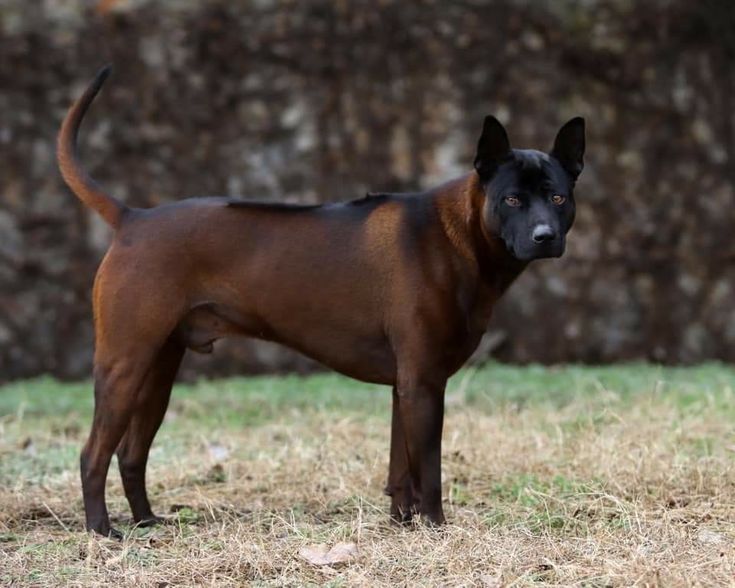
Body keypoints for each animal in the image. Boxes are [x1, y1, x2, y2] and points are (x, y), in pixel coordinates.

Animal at [57, 65, 588, 536]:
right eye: (513, 200)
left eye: (558, 198)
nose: (545, 237)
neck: (459, 235)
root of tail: (133, 218)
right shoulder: (423, 384)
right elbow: (430, 471)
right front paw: (437, 528)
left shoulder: (406, 386)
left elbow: (402, 470)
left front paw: (403, 526)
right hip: (124, 367)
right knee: (92, 454)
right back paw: (102, 530)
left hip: (158, 372)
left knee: (131, 454)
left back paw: (147, 521)